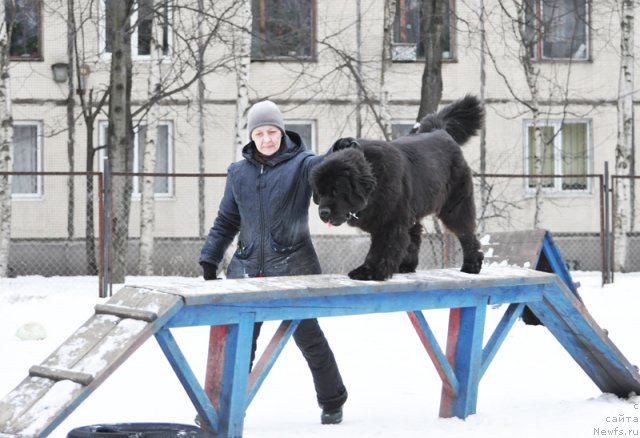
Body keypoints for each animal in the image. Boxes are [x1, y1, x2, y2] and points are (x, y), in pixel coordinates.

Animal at [310, 95, 484, 280]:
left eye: (336, 191)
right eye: (320, 193)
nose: (323, 212)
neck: (375, 182)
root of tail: (440, 131)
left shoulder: (390, 221)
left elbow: (381, 248)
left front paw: (369, 271)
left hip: (454, 206)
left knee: (466, 233)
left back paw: (471, 265)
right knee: (414, 236)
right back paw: (406, 266)